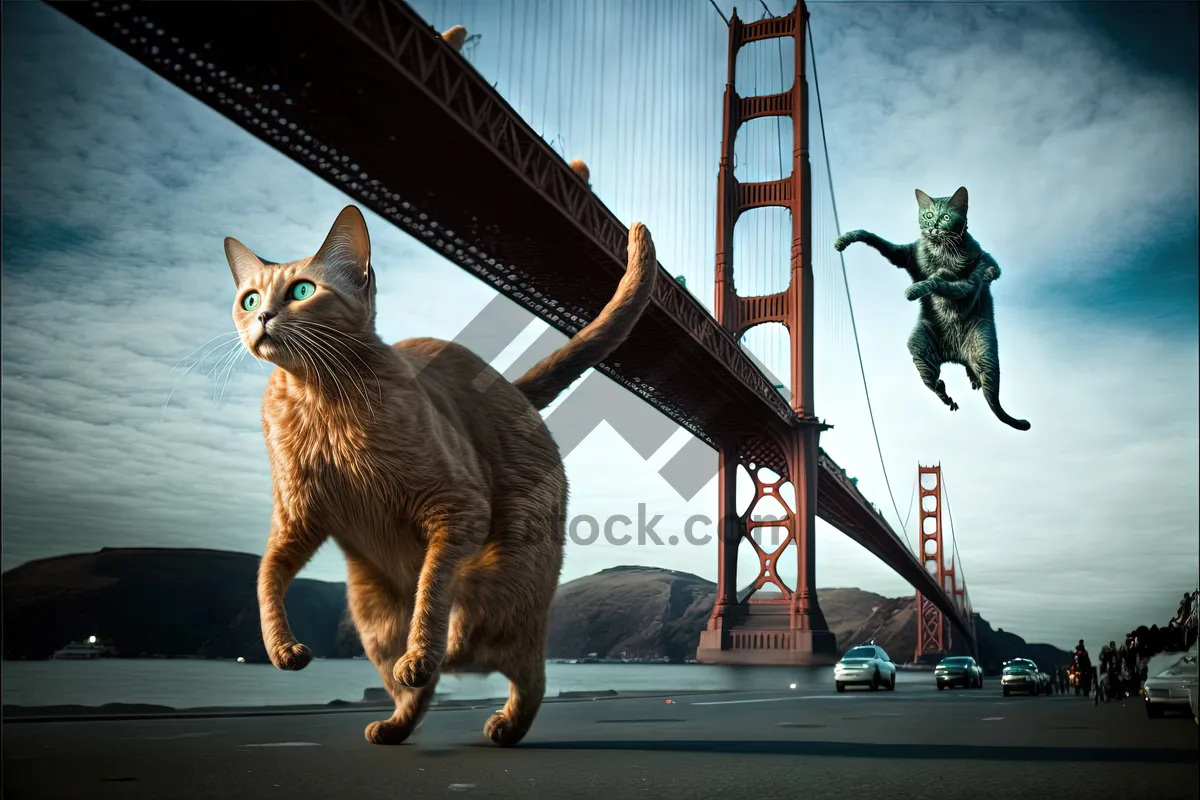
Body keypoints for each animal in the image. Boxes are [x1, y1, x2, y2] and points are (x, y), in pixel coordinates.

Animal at [225, 205, 657, 743]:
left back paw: (487, 704)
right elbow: (266, 578)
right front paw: (284, 649)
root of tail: (512, 389)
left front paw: (424, 647)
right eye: (250, 299)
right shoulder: (294, 523)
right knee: (423, 684)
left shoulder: (457, 509)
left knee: (521, 666)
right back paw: (395, 723)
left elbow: (431, 588)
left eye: (302, 291)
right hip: (371, 609)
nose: (262, 316)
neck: (321, 399)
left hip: (512, 575)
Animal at [835, 187, 1032, 431]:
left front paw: (917, 288)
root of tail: (956, 354)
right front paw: (844, 239)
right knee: (935, 382)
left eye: (946, 217)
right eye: (928, 215)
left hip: (985, 353)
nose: (933, 226)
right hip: (920, 346)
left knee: (993, 399)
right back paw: (949, 393)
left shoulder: (966, 281)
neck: (940, 251)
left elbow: (943, 279)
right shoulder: (906, 255)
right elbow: (872, 237)